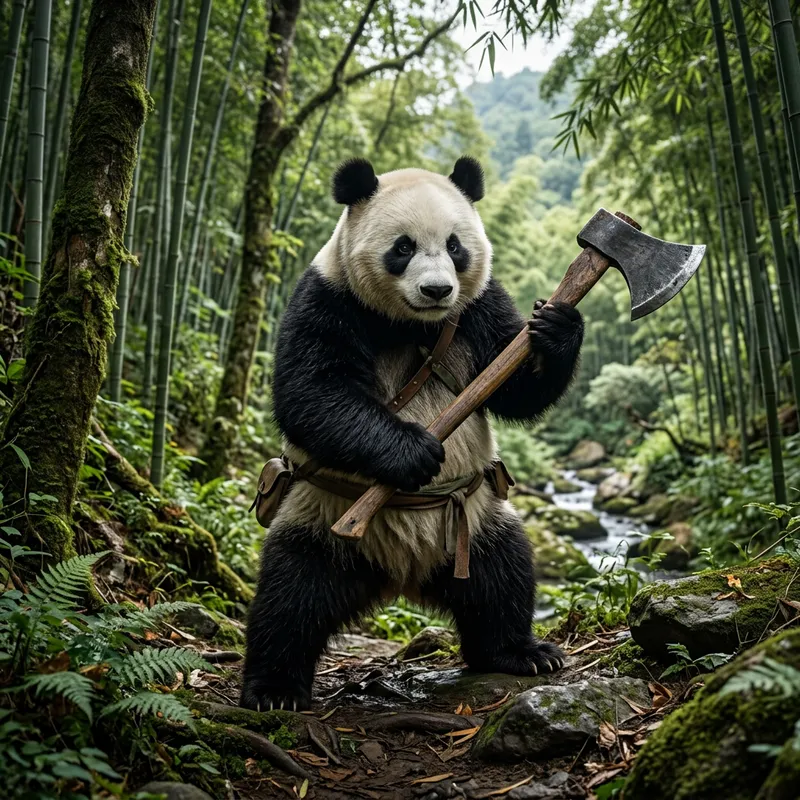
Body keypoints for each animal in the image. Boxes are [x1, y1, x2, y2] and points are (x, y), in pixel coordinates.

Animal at [240, 157, 583, 711]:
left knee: (502, 578)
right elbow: (312, 390)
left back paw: (521, 653)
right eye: (402, 248)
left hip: (474, 521)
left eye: (455, 246)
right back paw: (274, 689)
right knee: (290, 596)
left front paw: (556, 326)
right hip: (320, 518)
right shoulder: (327, 297)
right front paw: (414, 451)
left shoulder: (479, 305)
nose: (438, 291)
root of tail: (400, 575)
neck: (411, 323)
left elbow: (516, 388)